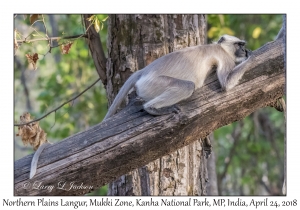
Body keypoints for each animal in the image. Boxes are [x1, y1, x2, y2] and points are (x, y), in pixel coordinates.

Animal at [104, 34, 252, 120]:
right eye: (239, 45)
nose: (244, 50)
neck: (220, 48)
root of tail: (143, 71)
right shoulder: (225, 57)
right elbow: (226, 84)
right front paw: (252, 57)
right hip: (153, 83)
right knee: (188, 86)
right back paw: (151, 108)